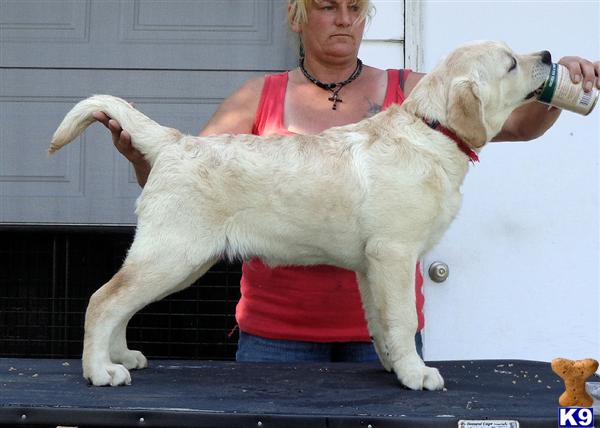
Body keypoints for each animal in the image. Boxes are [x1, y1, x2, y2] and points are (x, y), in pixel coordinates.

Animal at [49, 41, 552, 392]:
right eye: (510, 63)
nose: (548, 55)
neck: (432, 132)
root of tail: (176, 142)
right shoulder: (394, 253)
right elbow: (404, 318)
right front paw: (416, 373)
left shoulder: (372, 265)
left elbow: (380, 321)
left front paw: (394, 365)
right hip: (173, 252)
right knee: (104, 299)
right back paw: (100, 371)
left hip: (180, 260)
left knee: (122, 301)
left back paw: (120, 357)